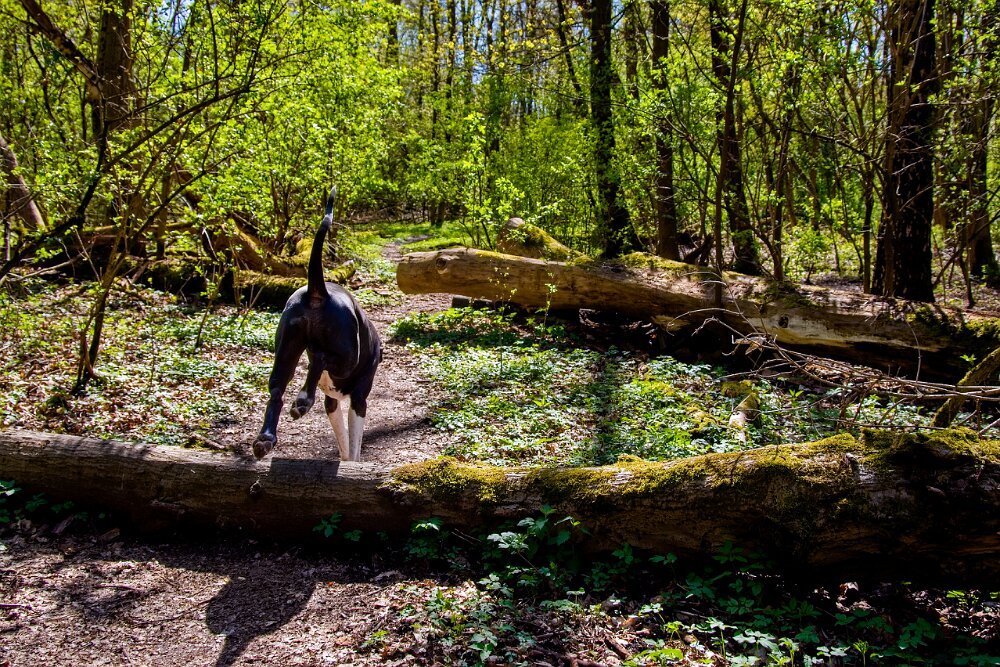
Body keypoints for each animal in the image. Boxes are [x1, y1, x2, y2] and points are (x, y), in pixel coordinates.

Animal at [253, 186, 382, 462]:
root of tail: (318, 291)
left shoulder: (331, 403)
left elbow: (343, 440)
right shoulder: (359, 400)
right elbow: (353, 444)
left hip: (286, 350)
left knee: (276, 391)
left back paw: (265, 438)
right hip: (347, 357)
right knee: (321, 358)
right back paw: (302, 400)